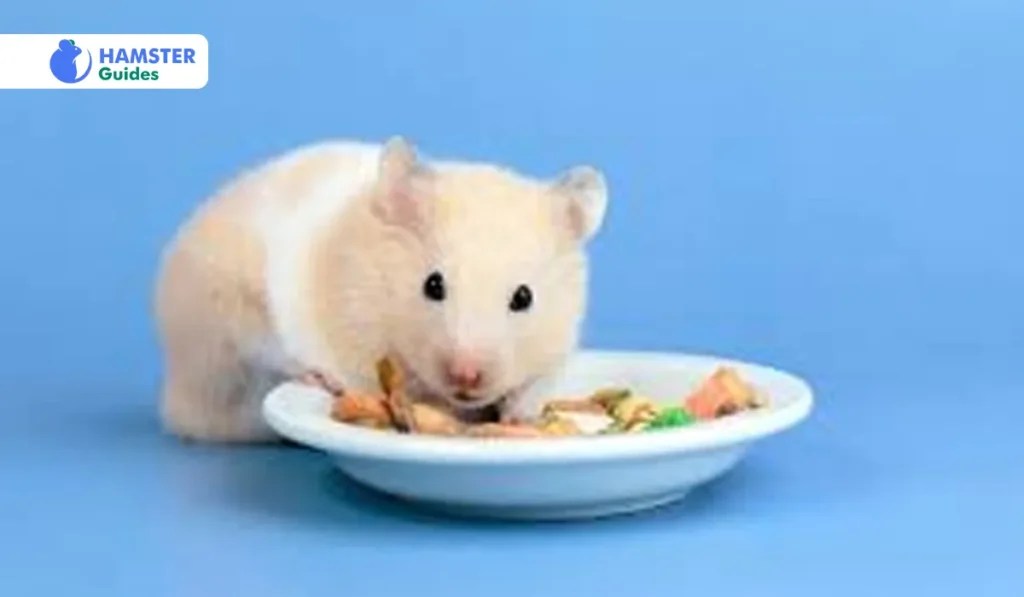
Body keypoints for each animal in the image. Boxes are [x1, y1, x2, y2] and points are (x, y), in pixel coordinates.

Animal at [154, 137, 609, 442]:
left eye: (524, 298)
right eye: (432, 285)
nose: (466, 376)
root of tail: (175, 401)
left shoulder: (555, 350)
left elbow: (537, 384)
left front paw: (517, 416)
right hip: (224, 314)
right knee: (259, 351)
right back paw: (314, 377)